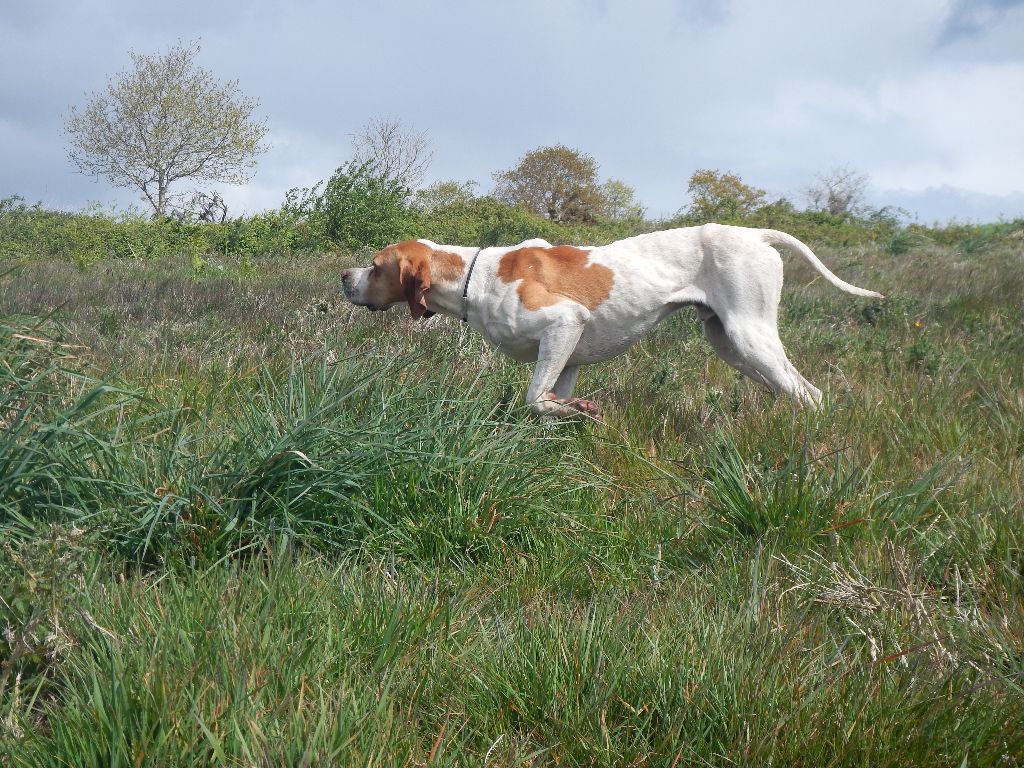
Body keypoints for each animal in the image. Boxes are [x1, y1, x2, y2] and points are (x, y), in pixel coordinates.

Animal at [342, 225, 880, 417]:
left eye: (376, 265)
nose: (344, 276)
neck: (478, 277)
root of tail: (756, 234)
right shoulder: (567, 357)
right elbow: (548, 403)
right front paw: (572, 414)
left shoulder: (564, 323)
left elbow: (534, 398)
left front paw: (579, 410)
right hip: (729, 342)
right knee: (789, 390)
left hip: (751, 337)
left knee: (810, 395)